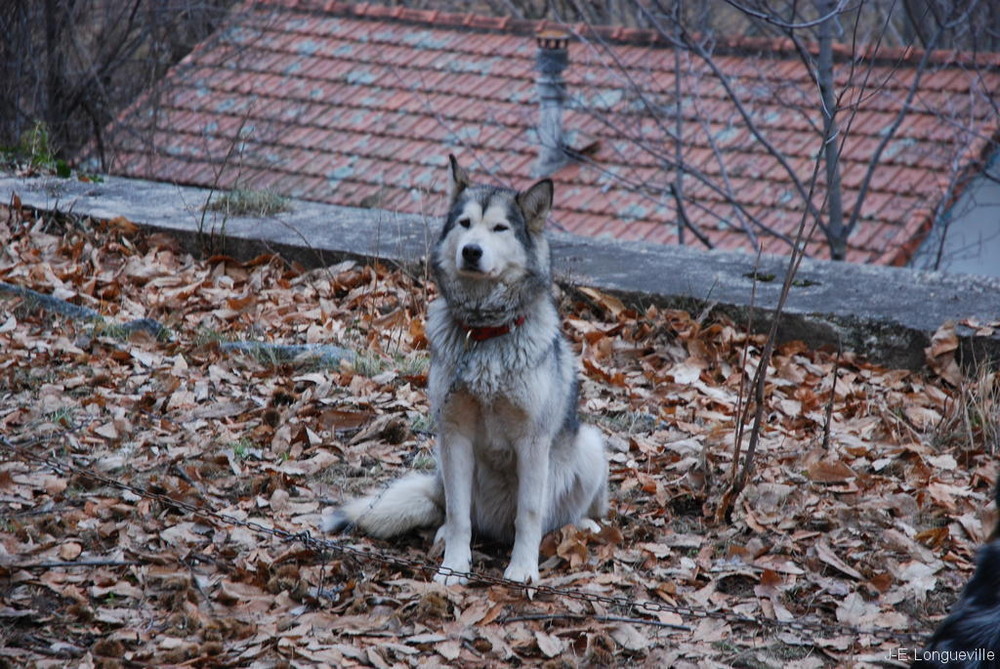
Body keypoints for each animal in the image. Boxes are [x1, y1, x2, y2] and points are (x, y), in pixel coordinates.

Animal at [326, 154, 608, 580]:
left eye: (500, 228)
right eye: (464, 223)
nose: (472, 250)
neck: (485, 333)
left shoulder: (532, 441)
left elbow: (530, 513)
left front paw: (522, 571)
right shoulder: (454, 434)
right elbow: (460, 515)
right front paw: (454, 568)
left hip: (590, 444)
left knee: (559, 516)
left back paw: (583, 526)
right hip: (445, 467)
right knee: (450, 510)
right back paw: (443, 535)